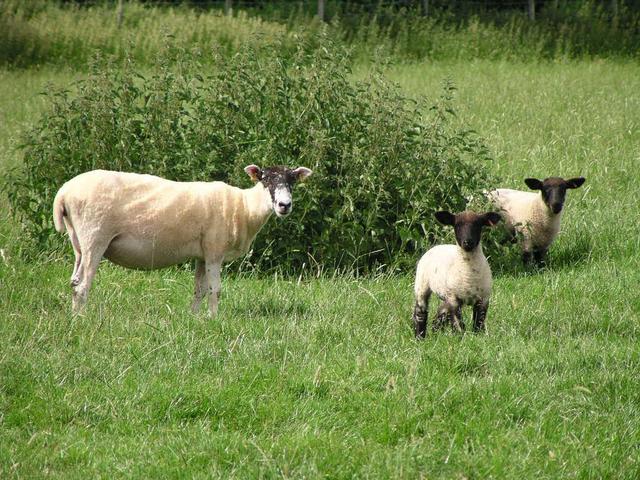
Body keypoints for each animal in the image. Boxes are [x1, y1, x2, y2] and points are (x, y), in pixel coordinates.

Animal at [52, 165, 312, 316]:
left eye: (292, 181)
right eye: (265, 180)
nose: (284, 205)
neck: (245, 207)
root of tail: (64, 193)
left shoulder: (202, 254)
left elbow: (199, 289)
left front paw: (195, 318)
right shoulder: (215, 250)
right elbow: (215, 289)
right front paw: (214, 319)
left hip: (78, 241)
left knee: (74, 281)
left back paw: (73, 316)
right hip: (95, 236)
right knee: (83, 285)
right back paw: (81, 319)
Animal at [412, 210, 502, 338]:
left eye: (478, 224)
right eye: (457, 225)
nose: (468, 242)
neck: (469, 274)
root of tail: (439, 246)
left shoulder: (483, 298)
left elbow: (479, 321)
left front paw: (478, 336)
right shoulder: (454, 299)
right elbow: (458, 324)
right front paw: (461, 338)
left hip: (446, 294)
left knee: (441, 311)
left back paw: (434, 331)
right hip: (422, 285)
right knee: (420, 312)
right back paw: (419, 337)